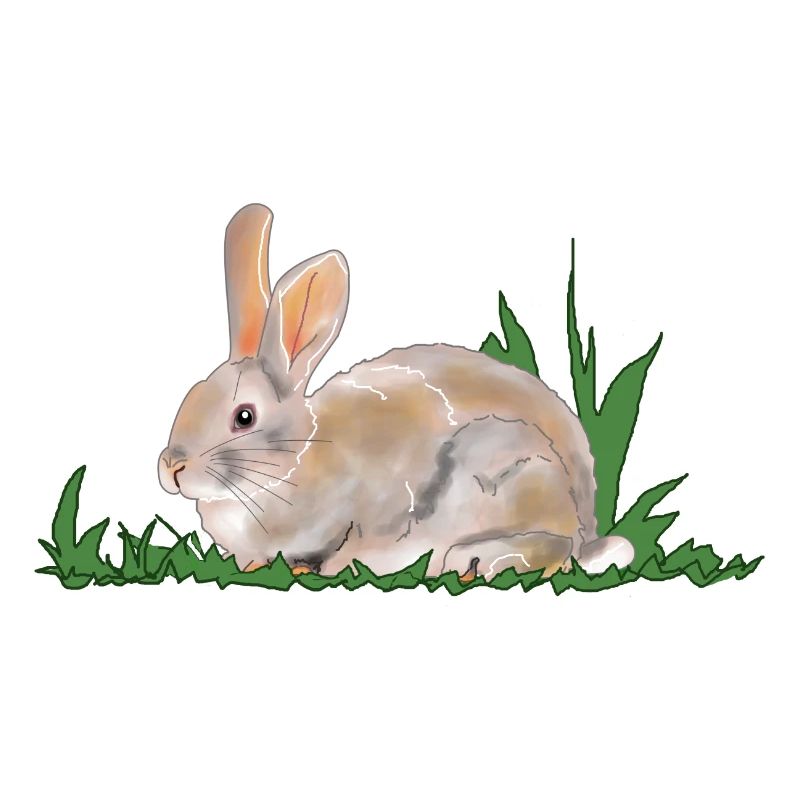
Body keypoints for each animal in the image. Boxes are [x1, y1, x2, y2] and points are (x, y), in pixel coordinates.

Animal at [158, 203, 635, 581]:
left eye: (244, 417)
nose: (172, 467)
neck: (296, 458)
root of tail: (588, 526)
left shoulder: (378, 505)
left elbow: (355, 543)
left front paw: (327, 568)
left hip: (509, 470)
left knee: (556, 549)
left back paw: (473, 561)